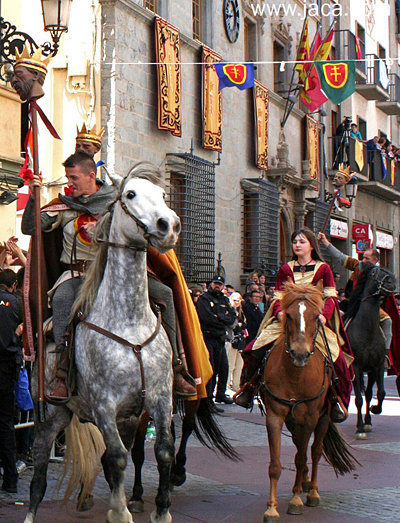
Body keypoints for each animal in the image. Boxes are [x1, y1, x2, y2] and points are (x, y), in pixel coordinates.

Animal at [24, 165, 180, 523]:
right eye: (130, 195)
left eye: (163, 194)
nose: (168, 226)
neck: (129, 323)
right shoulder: (105, 404)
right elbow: (118, 458)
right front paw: (119, 512)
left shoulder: (159, 399)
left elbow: (162, 451)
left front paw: (162, 510)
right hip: (51, 417)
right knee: (40, 474)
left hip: (126, 419)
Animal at [260, 282, 358, 523]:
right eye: (289, 315)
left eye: (316, 316)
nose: (300, 354)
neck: (295, 375)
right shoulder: (275, 416)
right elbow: (276, 464)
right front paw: (271, 509)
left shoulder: (310, 417)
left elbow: (302, 458)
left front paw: (296, 501)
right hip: (293, 421)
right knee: (299, 446)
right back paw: (304, 483)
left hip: (322, 418)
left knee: (314, 451)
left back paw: (312, 491)